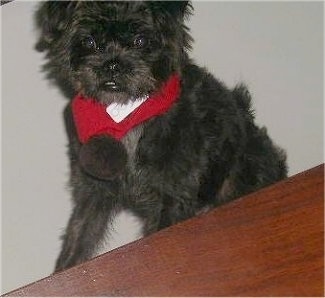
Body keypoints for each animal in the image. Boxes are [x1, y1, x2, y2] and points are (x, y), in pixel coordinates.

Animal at [33, 1, 286, 272]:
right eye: (89, 41)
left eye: (141, 40)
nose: (112, 64)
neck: (127, 115)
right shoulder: (94, 191)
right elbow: (79, 235)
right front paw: (64, 270)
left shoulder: (174, 189)